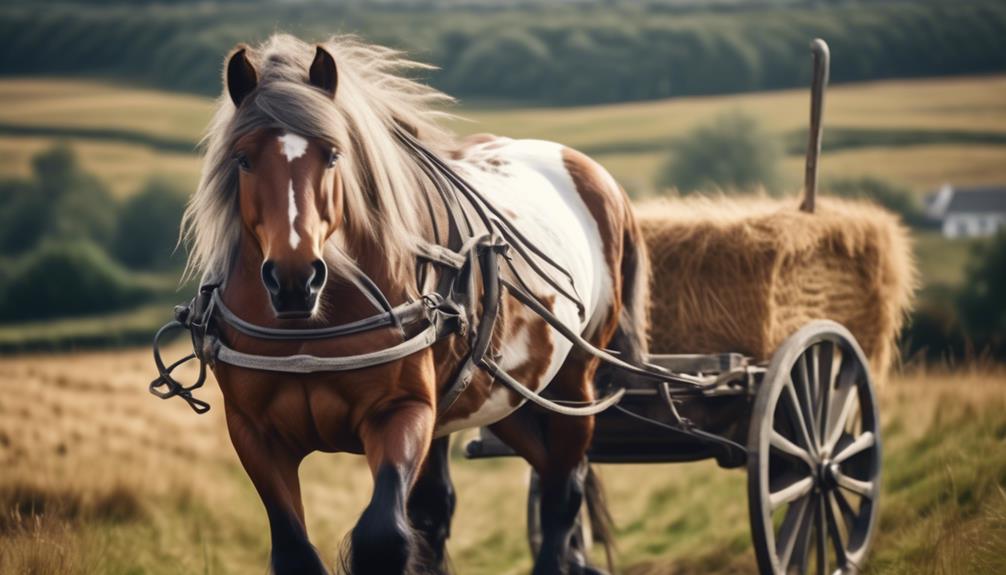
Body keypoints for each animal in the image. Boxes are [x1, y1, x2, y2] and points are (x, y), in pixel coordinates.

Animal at [182, 35, 651, 575]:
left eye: (333, 155)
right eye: (243, 159)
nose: (295, 280)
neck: (309, 330)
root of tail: (593, 175)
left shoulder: (401, 411)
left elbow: (384, 534)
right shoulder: (256, 434)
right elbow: (297, 550)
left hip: (574, 385)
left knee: (562, 490)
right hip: (506, 398)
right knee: (512, 479)